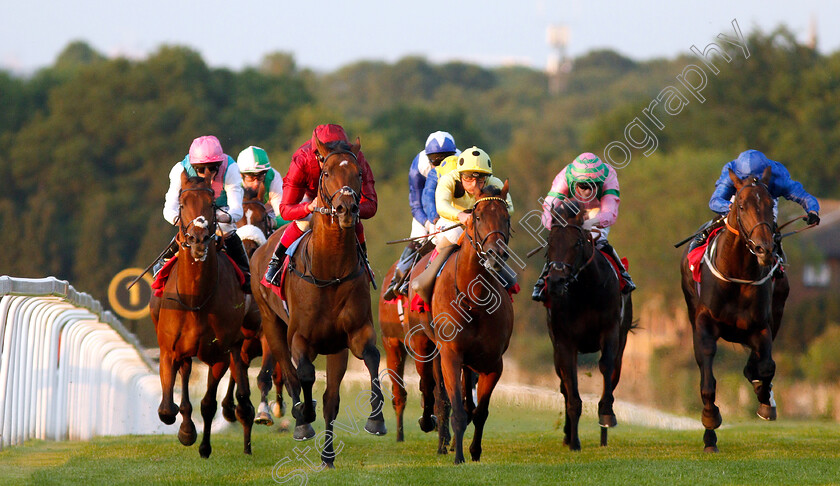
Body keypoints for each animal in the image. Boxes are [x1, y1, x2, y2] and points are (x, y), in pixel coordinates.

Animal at [151, 173, 254, 458]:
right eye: (182, 203)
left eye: (211, 204)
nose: (198, 240)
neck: (195, 299)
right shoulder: (169, 350)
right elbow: (167, 409)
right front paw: (186, 429)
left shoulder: (219, 354)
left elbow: (208, 403)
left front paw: (203, 445)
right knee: (185, 376)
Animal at [253, 135, 388, 468]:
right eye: (326, 173)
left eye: (359, 173)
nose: (346, 208)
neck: (331, 273)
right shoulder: (300, 338)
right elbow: (303, 374)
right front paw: (303, 418)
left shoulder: (354, 334)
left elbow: (371, 359)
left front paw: (376, 420)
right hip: (271, 325)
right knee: (289, 376)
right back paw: (300, 416)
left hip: (336, 349)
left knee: (330, 399)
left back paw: (327, 453)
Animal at [420, 182, 512, 464]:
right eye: (478, 216)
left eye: (506, 217)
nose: (495, 255)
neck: (475, 300)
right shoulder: (450, 354)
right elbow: (457, 410)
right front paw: (458, 456)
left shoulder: (494, 363)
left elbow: (480, 411)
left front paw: (474, 451)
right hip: (428, 347)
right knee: (438, 395)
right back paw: (440, 440)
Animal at [540, 199, 632, 450]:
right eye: (550, 242)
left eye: (577, 242)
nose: (556, 281)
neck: (585, 292)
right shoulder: (564, 343)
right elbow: (571, 388)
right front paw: (573, 441)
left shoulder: (610, 332)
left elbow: (606, 367)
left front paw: (606, 414)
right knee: (563, 385)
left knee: (614, 374)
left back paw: (603, 435)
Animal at [676, 167, 788, 452]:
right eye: (742, 205)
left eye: (770, 204)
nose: (764, 248)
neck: (738, 274)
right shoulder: (704, 324)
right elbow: (707, 380)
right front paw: (710, 420)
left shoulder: (761, 326)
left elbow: (766, 366)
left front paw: (764, 400)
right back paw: (710, 438)